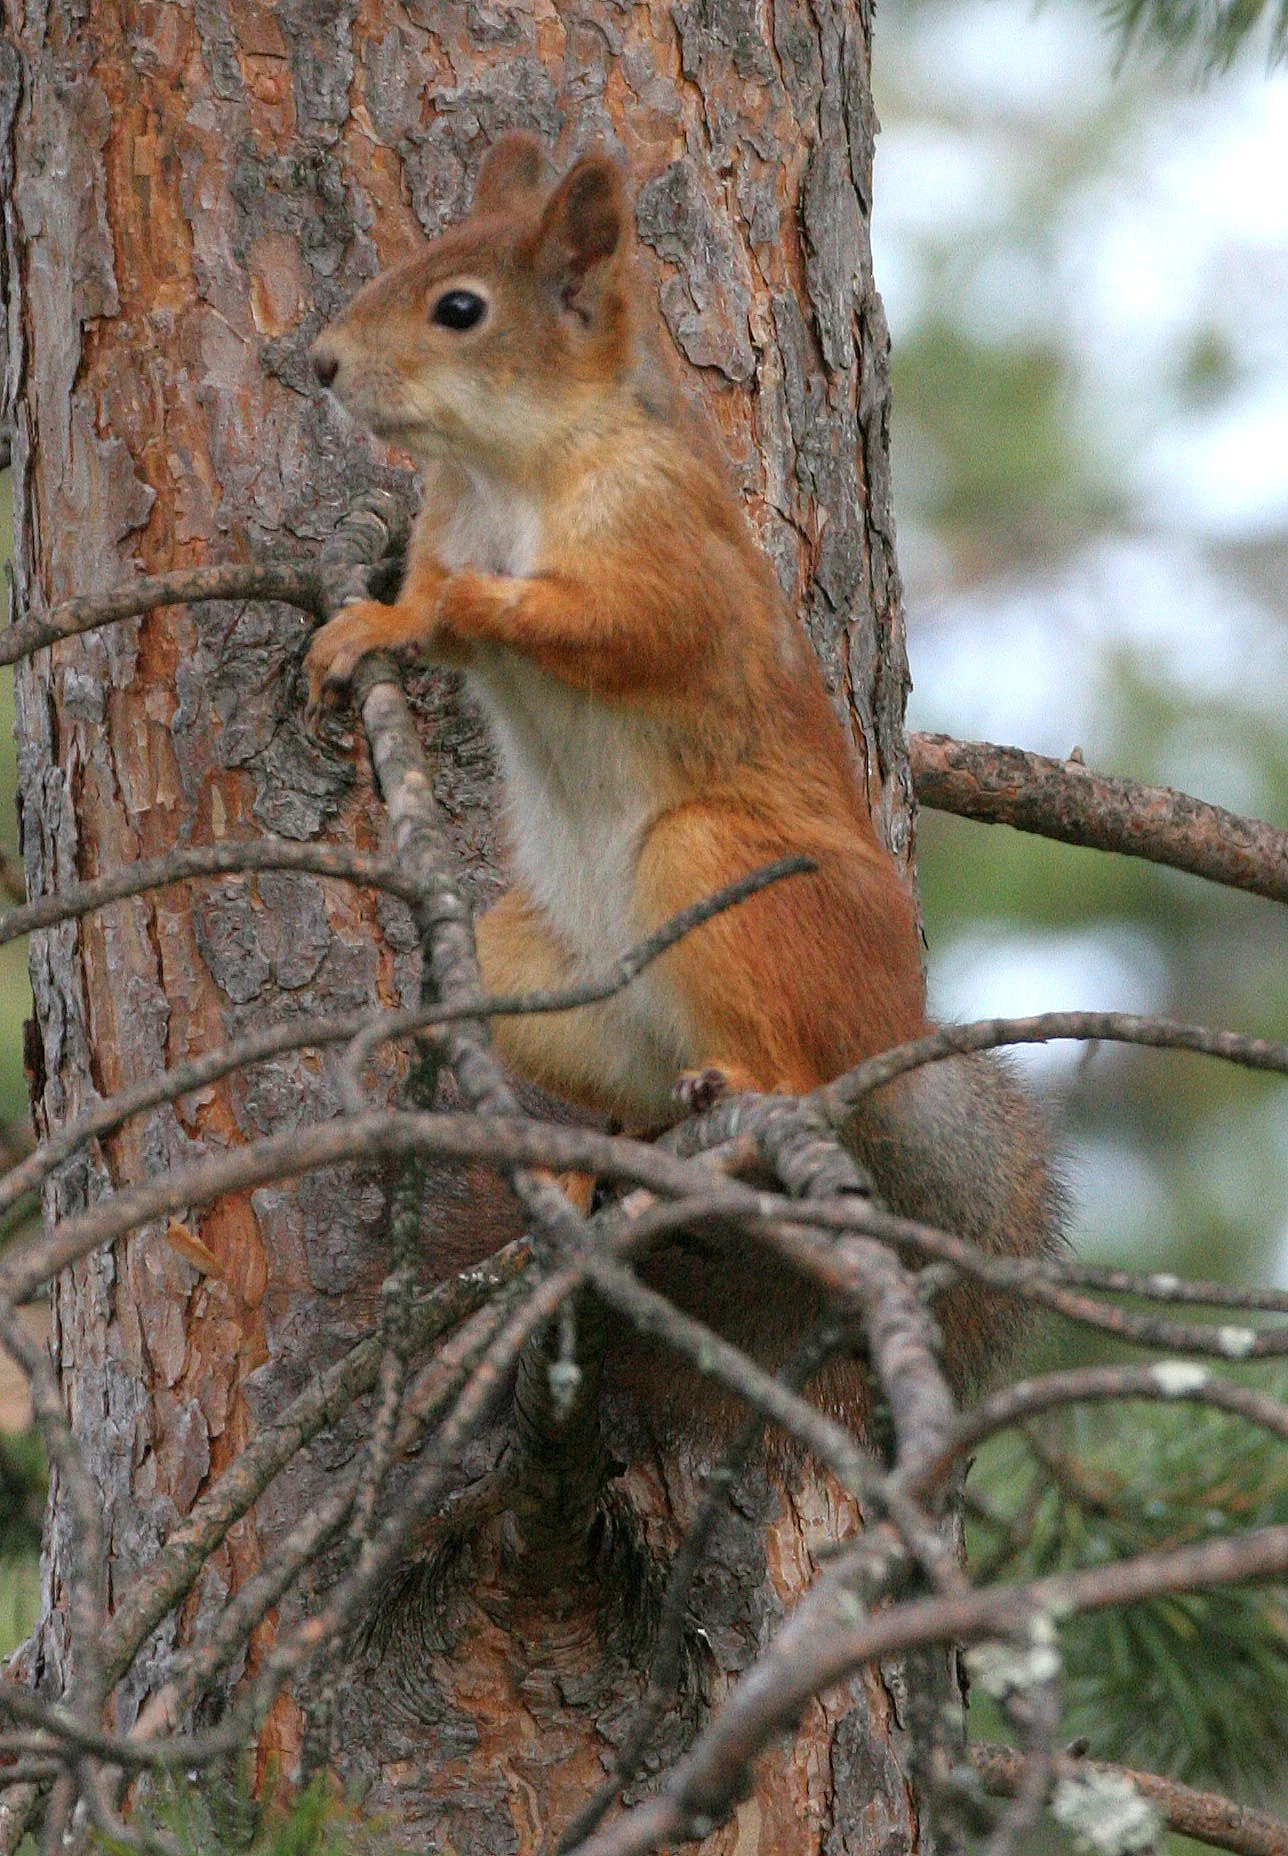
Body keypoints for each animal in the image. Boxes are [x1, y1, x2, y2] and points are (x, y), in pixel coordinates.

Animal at [304, 133, 1064, 1450]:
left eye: (461, 309)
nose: (321, 364)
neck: (514, 468)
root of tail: (888, 1037)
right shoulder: (450, 523)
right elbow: (428, 608)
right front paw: (371, 626)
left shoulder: (668, 553)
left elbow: (614, 626)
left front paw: (479, 607)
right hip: (527, 971)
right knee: (632, 1092)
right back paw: (586, 1162)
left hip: (711, 865)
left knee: (788, 1072)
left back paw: (743, 1090)